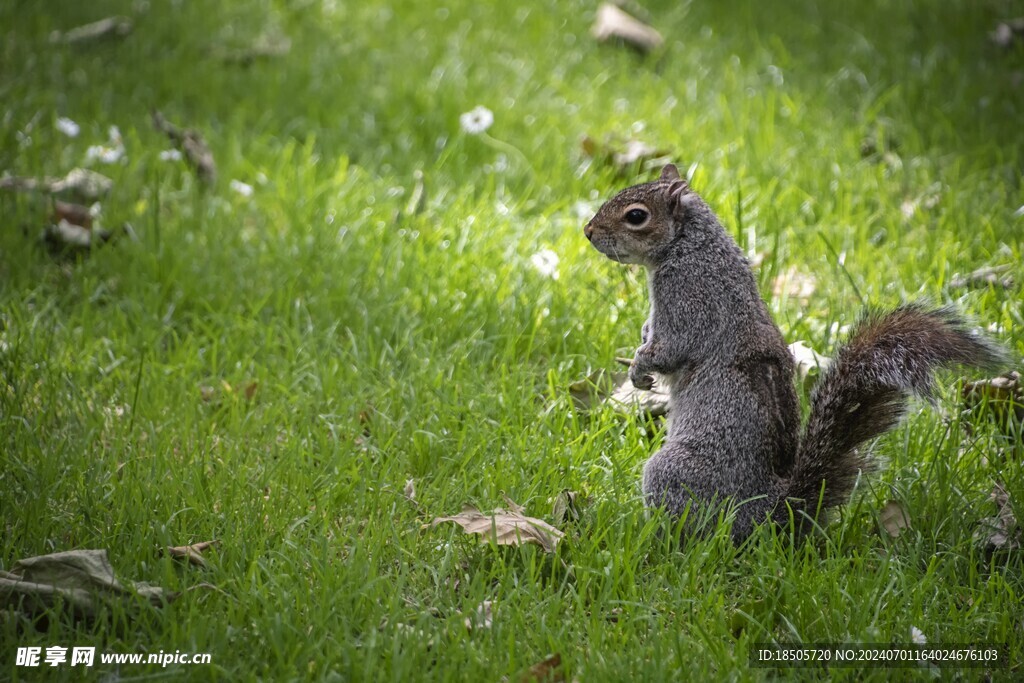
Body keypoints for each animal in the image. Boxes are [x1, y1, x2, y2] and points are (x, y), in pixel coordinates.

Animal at [585, 162, 1007, 540]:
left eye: (636, 216)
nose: (588, 232)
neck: (690, 245)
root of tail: (773, 514)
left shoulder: (691, 299)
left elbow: (671, 347)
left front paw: (640, 367)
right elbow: (651, 333)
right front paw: (640, 343)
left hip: (674, 473)